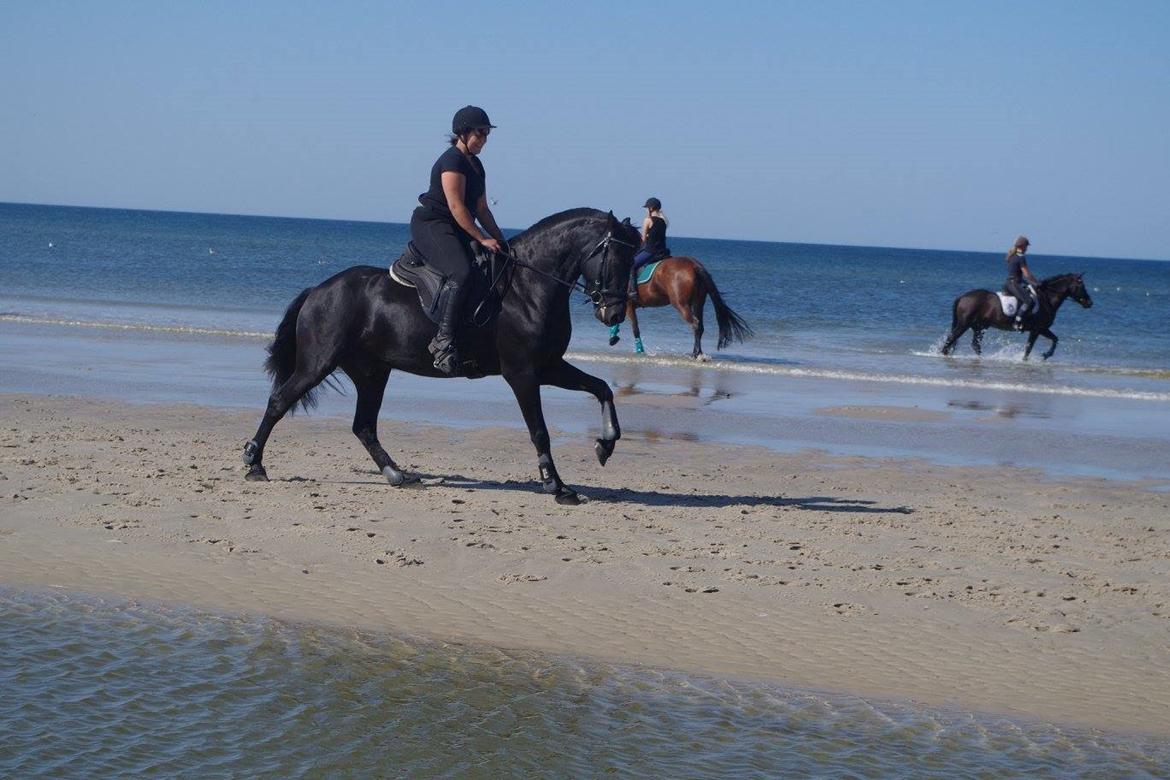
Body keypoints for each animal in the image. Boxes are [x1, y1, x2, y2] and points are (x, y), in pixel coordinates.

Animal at [239, 205, 641, 507]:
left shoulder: (549, 366)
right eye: (614, 256)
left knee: (363, 425)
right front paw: (557, 486)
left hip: (372, 372)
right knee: (279, 401)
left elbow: (602, 388)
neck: (528, 288)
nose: (614, 315)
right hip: (318, 363)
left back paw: (397, 474)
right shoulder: (523, 373)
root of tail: (318, 290)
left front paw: (605, 444)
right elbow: (539, 431)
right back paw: (254, 464)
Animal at [608, 259, 753, 362]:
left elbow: (635, 328)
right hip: (698, 303)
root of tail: (695, 266)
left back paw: (696, 354)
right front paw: (613, 336)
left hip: (681, 305)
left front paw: (639, 350)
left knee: (695, 324)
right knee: (700, 326)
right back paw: (698, 353)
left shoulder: (628, 305)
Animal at [935, 273, 1090, 362]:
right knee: (951, 339)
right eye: (1081, 286)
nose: (1090, 303)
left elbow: (1055, 339)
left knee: (974, 344)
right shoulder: (1037, 330)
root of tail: (963, 296)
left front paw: (1045, 355)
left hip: (978, 327)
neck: (1046, 299)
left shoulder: (1042, 329)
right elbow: (1029, 348)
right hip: (964, 325)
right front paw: (1040, 356)